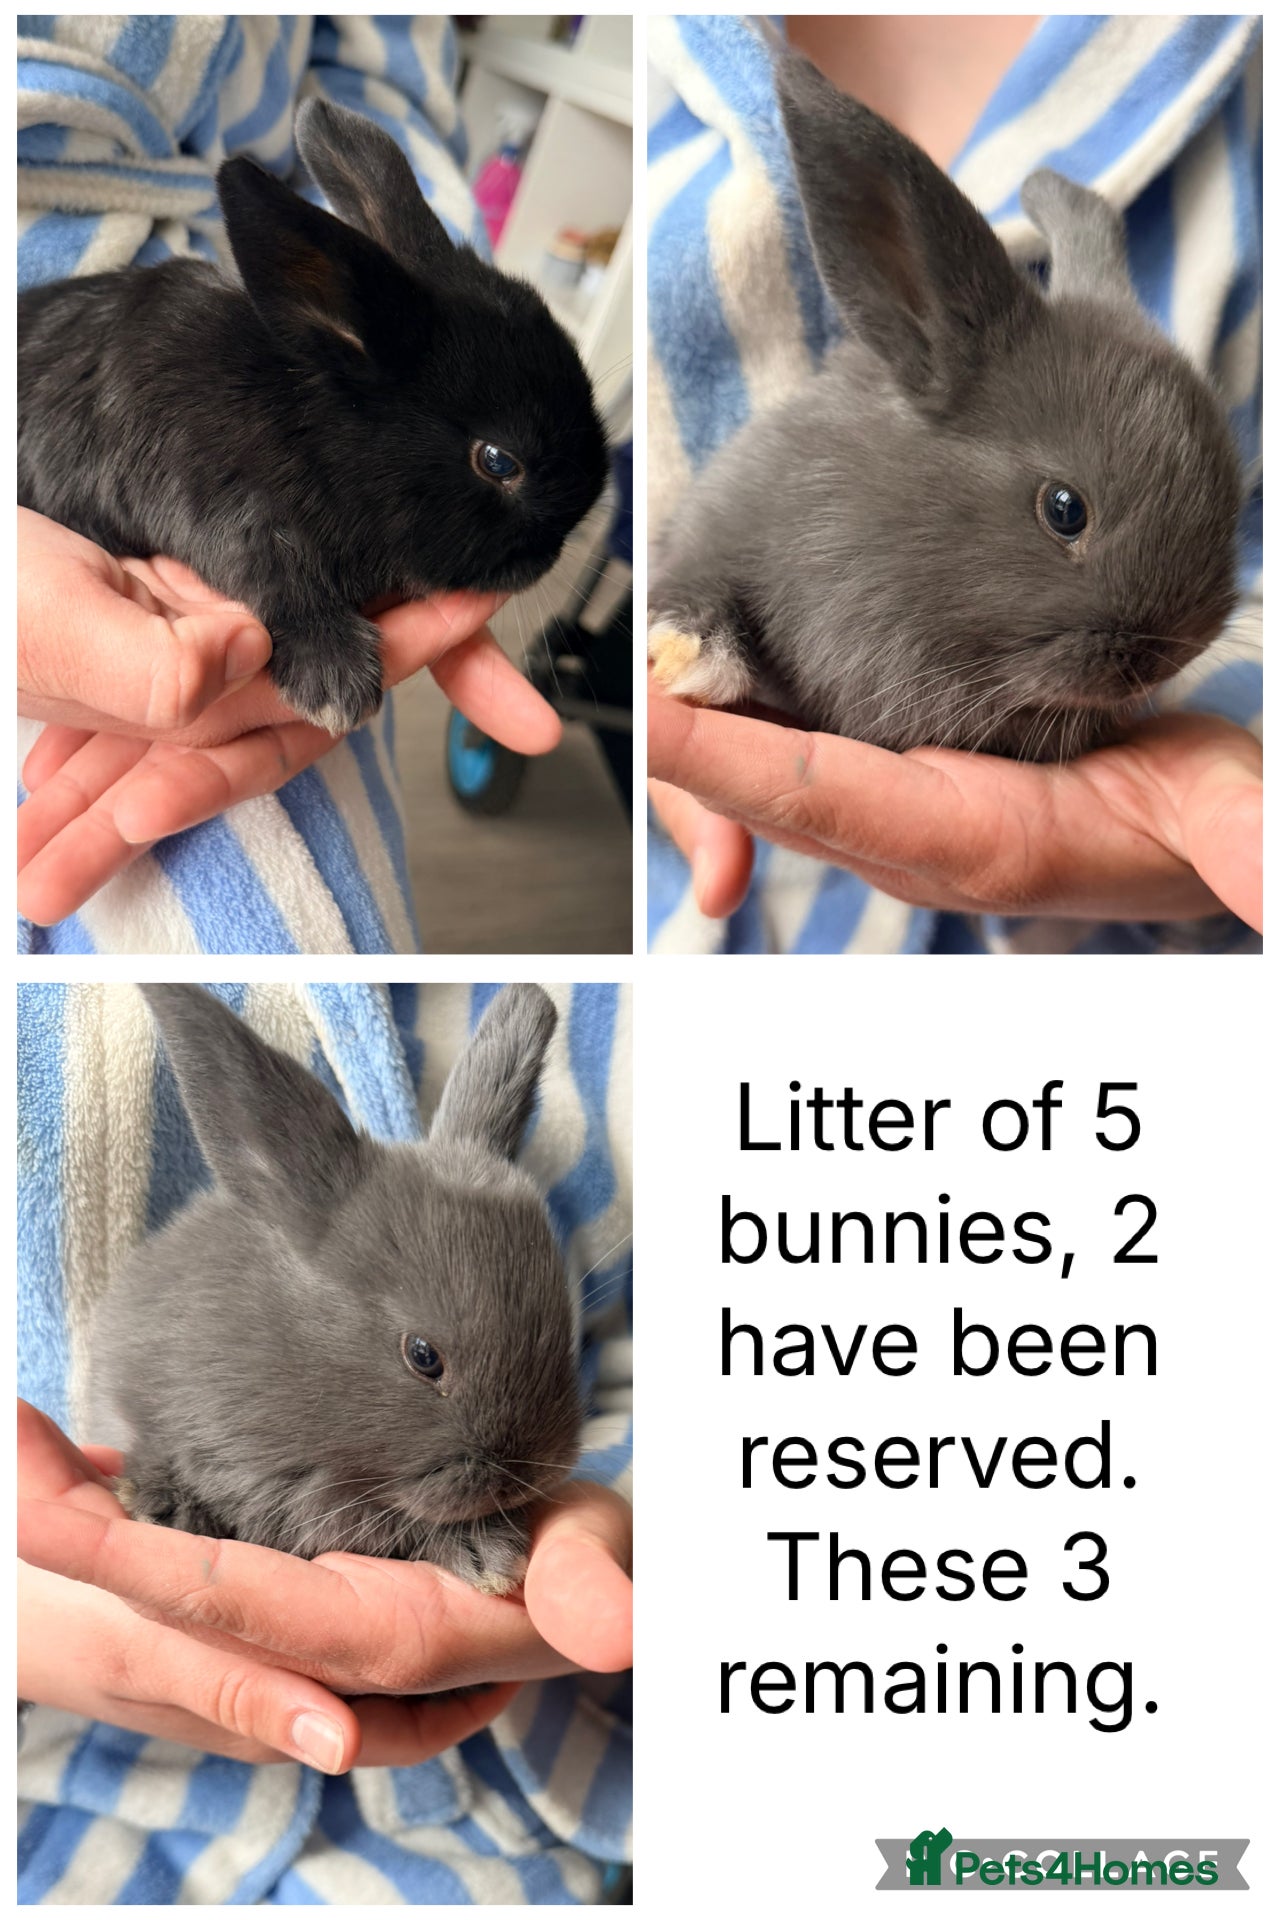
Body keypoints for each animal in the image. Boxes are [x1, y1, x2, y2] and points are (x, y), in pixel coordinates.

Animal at [18, 100, 609, 736]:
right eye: (498, 461)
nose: (551, 553)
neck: (308, 427)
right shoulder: (221, 507)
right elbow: (274, 573)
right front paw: (335, 680)